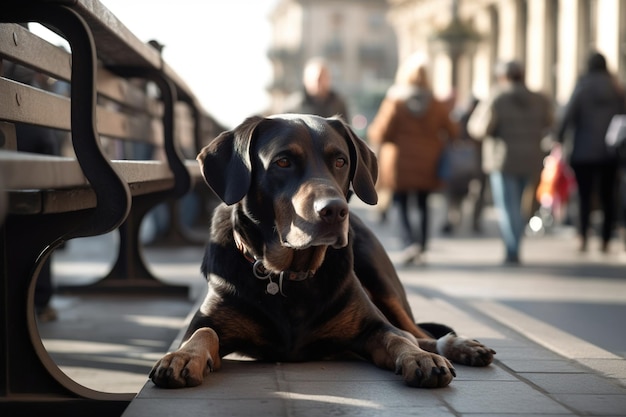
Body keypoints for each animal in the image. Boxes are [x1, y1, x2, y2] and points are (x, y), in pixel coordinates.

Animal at [150, 113, 492, 386]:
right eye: (283, 161)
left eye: (340, 161)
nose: (335, 211)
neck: (288, 274)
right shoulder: (209, 319)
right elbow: (203, 333)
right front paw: (183, 356)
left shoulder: (372, 326)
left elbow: (397, 336)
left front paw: (418, 358)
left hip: (381, 281)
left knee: (418, 333)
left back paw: (458, 347)